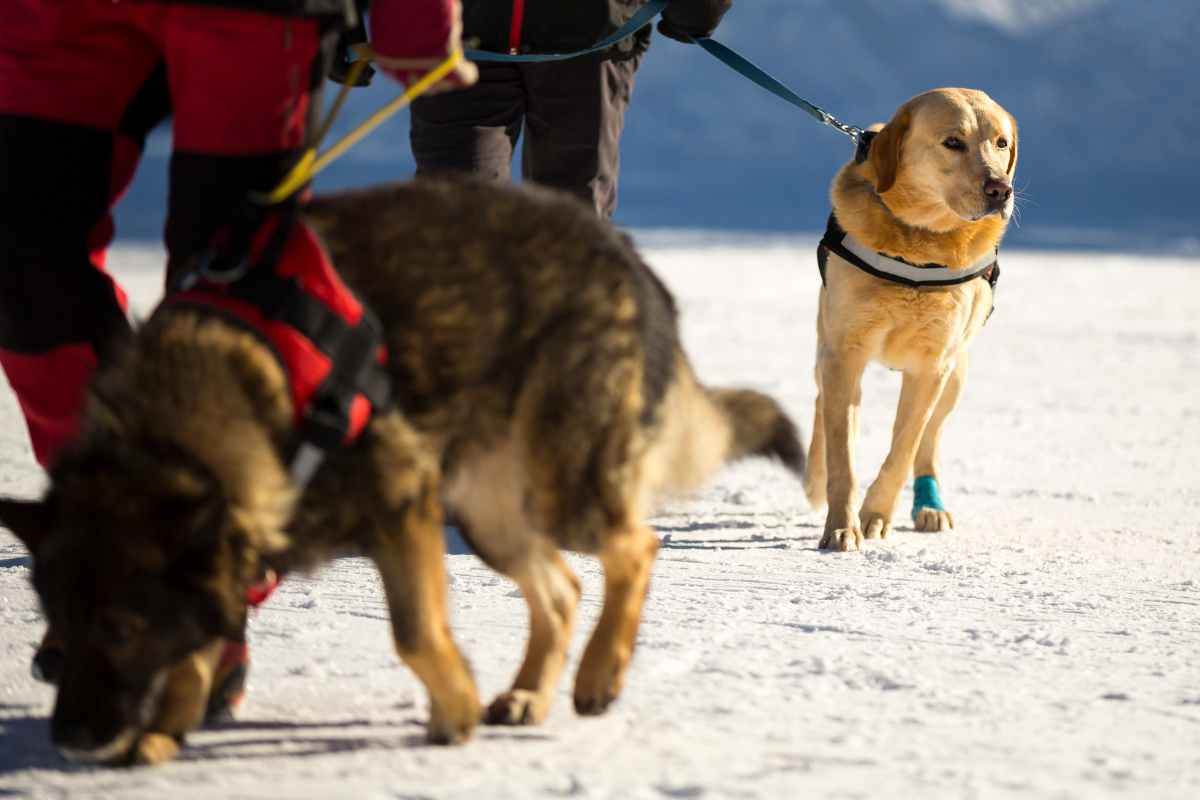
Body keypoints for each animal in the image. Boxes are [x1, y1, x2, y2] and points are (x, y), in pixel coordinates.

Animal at [2, 178, 806, 767]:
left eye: (120, 628)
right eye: (58, 625)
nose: (68, 739)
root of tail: (623, 249)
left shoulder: (400, 503)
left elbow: (414, 633)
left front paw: (452, 711)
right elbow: (198, 641)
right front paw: (166, 727)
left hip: (559, 490)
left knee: (635, 547)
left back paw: (599, 673)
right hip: (490, 517)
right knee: (563, 588)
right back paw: (529, 693)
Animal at [801, 86, 1017, 551]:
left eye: (1001, 143)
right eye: (953, 141)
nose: (1001, 190)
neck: (918, 247)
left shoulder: (932, 365)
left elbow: (904, 448)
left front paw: (876, 516)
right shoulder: (845, 352)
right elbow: (843, 456)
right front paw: (841, 526)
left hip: (956, 374)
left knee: (929, 441)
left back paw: (930, 506)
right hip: (829, 348)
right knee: (823, 403)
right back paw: (814, 478)